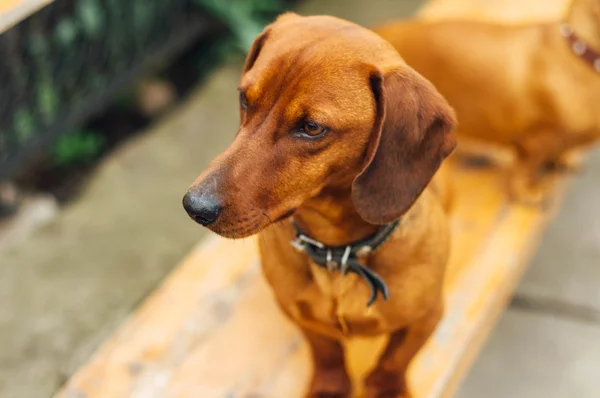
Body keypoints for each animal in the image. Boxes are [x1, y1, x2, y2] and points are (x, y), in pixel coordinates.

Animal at [182, 13, 454, 398]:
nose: (195, 207)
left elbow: (394, 360)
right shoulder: (299, 314)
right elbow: (325, 350)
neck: (337, 255)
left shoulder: (426, 318)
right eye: (244, 99)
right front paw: (330, 385)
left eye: (311, 127)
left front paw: (385, 387)